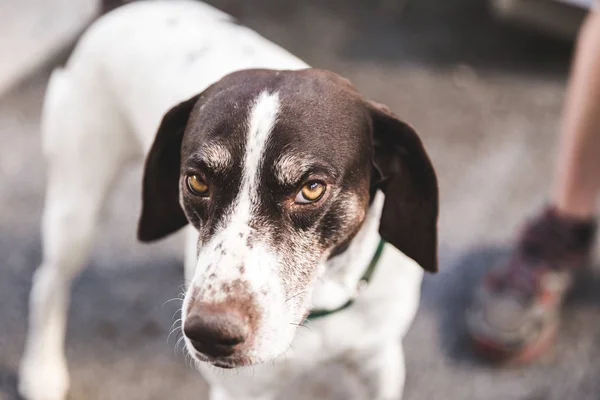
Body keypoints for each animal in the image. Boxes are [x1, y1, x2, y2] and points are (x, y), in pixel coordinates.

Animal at [18, 0, 438, 400]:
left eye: (311, 188)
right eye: (197, 181)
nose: (210, 333)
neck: (321, 298)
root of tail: (124, 9)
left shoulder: (379, 363)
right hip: (77, 203)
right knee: (48, 282)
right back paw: (41, 371)